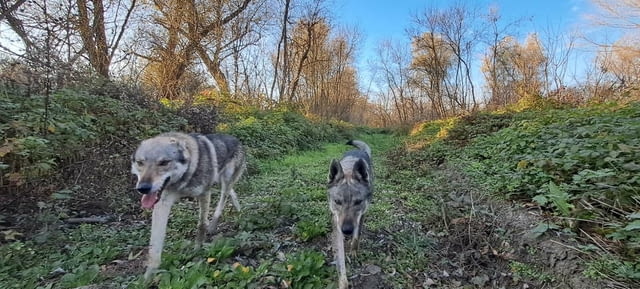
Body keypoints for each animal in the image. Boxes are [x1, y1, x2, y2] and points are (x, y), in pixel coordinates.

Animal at [131, 132, 245, 280]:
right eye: (140, 163)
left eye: (164, 163)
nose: (143, 188)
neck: (183, 179)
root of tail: (235, 139)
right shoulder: (162, 203)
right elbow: (154, 247)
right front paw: (148, 278)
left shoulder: (204, 193)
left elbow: (201, 225)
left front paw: (197, 250)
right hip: (220, 180)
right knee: (232, 191)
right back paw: (236, 210)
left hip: (224, 182)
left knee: (223, 199)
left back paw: (215, 224)